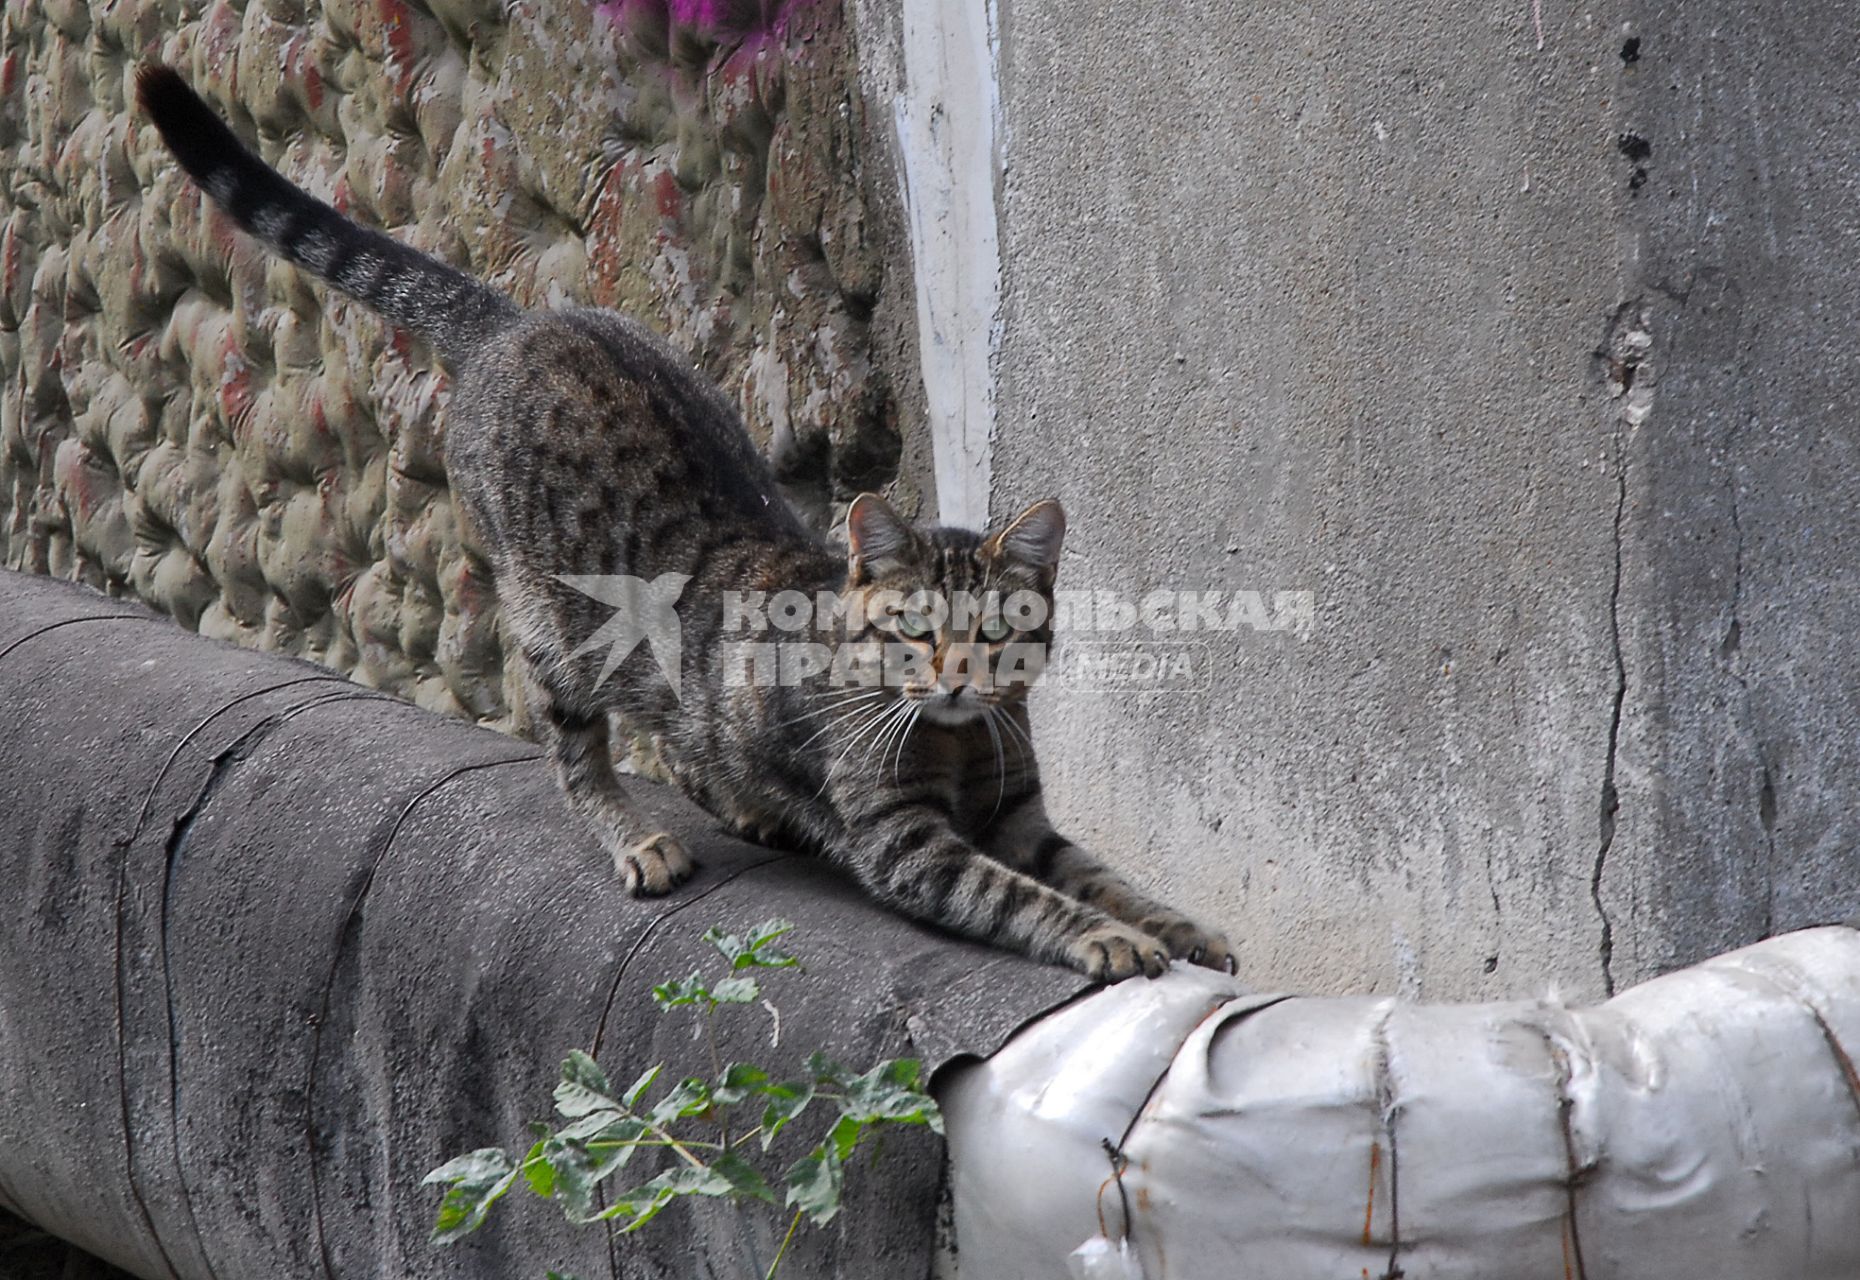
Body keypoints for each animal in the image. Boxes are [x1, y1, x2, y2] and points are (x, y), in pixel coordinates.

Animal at [137, 65, 1227, 982]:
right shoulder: (910, 842)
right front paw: (1112, 938)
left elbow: (1098, 871)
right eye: (916, 631)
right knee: (576, 752)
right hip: (559, 634)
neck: (954, 745)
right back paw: (638, 837)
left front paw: (1176, 923)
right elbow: (1024, 895)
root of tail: (518, 320)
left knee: (683, 740)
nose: (958, 679)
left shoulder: (1023, 813)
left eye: (996, 633)